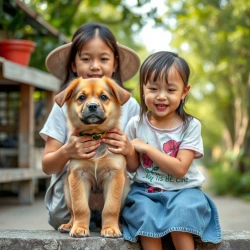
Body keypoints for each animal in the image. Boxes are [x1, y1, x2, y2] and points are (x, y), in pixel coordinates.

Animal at [54, 76, 131, 238]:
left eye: (103, 97)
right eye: (82, 97)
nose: (92, 106)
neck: (96, 136)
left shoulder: (114, 176)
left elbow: (111, 208)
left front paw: (110, 228)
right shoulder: (78, 176)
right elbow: (80, 208)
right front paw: (79, 228)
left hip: (124, 191)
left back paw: (119, 226)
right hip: (68, 190)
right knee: (73, 212)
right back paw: (69, 225)